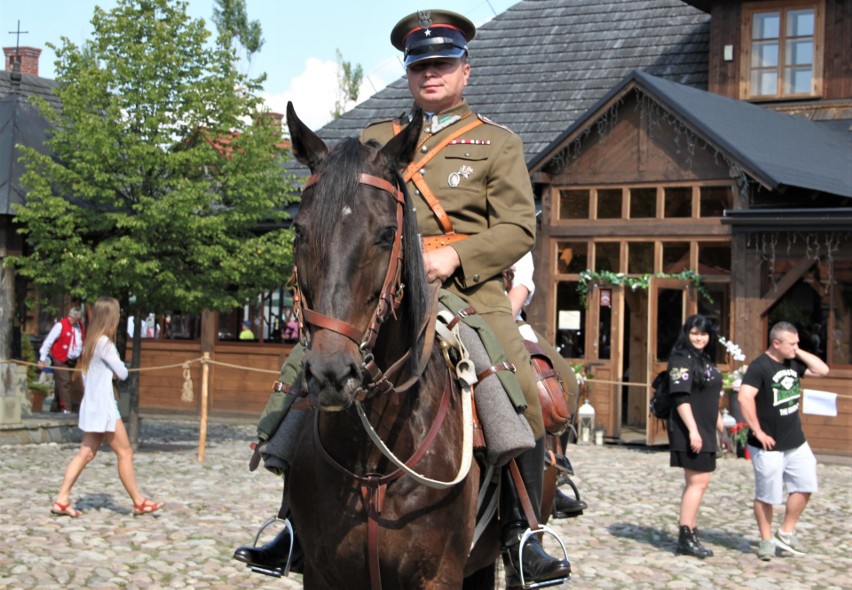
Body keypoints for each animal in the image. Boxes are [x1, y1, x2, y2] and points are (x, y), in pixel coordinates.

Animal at [286, 104, 500, 588]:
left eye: (386, 233)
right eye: (298, 232)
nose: (331, 374)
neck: (373, 459)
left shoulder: (440, 577)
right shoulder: (321, 574)